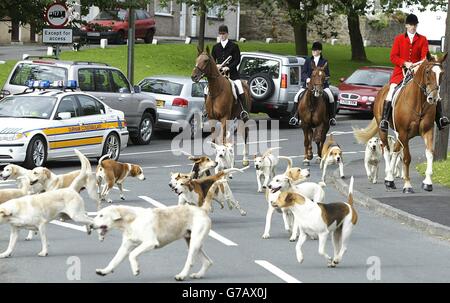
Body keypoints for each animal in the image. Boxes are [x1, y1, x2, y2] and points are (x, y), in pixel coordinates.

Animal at [356, 52, 446, 194]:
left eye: (441, 73)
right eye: (427, 72)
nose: (434, 98)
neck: (419, 102)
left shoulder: (427, 131)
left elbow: (430, 153)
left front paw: (427, 182)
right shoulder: (403, 132)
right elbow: (407, 158)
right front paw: (407, 185)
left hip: (401, 135)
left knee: (396, 151)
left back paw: (391, 179)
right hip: (385, 131)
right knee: (387, 151)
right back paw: (389, 178)